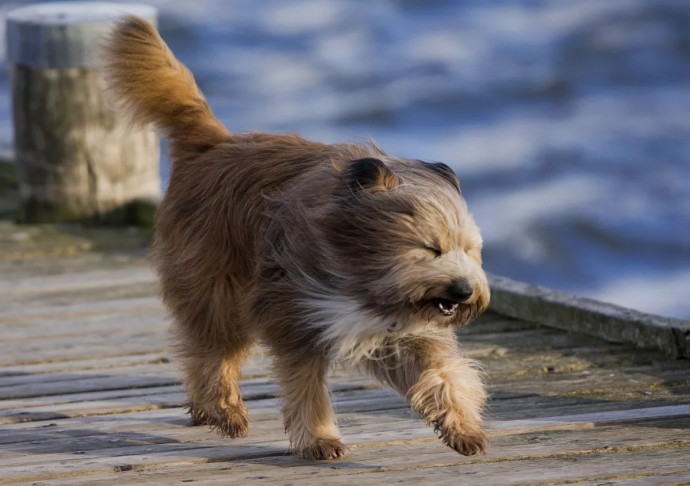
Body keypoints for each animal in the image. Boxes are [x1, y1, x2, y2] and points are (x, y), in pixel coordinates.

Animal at [103, 16, 490, 460]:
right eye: (430, 248)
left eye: (470, 250)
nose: (464, 291)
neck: (359, 273)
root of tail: (214, 144)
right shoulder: (296, 315)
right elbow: (305, 388)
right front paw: (320, 439)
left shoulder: (403, 333)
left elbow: (443, 373)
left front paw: (462, 426)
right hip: (218, 291)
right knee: (211, 355)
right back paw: (224, 410)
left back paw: (206, 410)